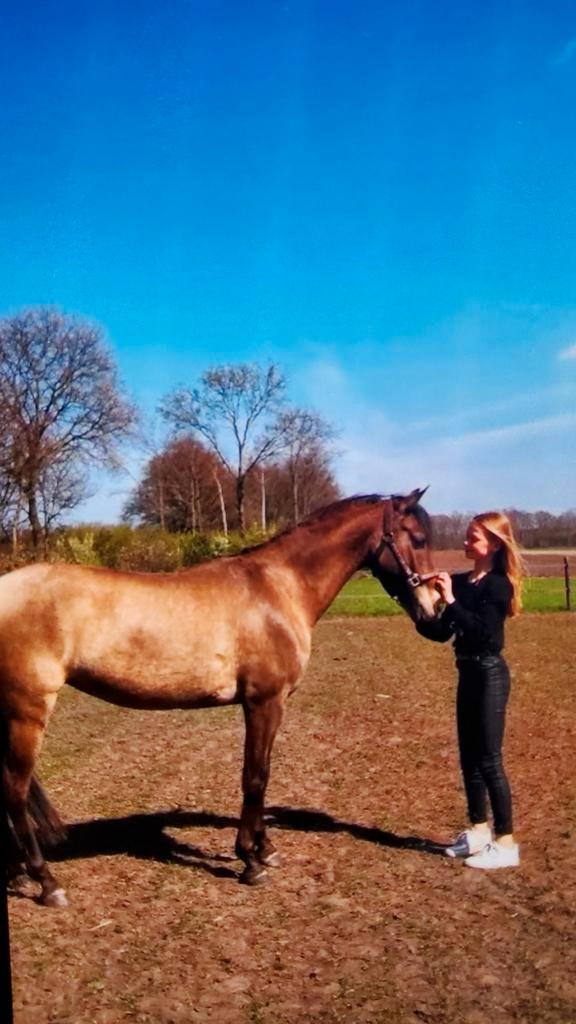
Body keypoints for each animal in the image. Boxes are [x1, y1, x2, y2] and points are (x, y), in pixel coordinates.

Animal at [0, 488, 440, 907]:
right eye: (417, 538)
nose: (434, 611)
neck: (278, 588)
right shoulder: (264, 702)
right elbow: (255, 777)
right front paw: (250, 861)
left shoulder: (267, 705)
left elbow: (263, 773)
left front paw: (266, 850)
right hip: (28, 711)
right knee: (14, 790)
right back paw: (47, 883)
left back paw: (18, 874)